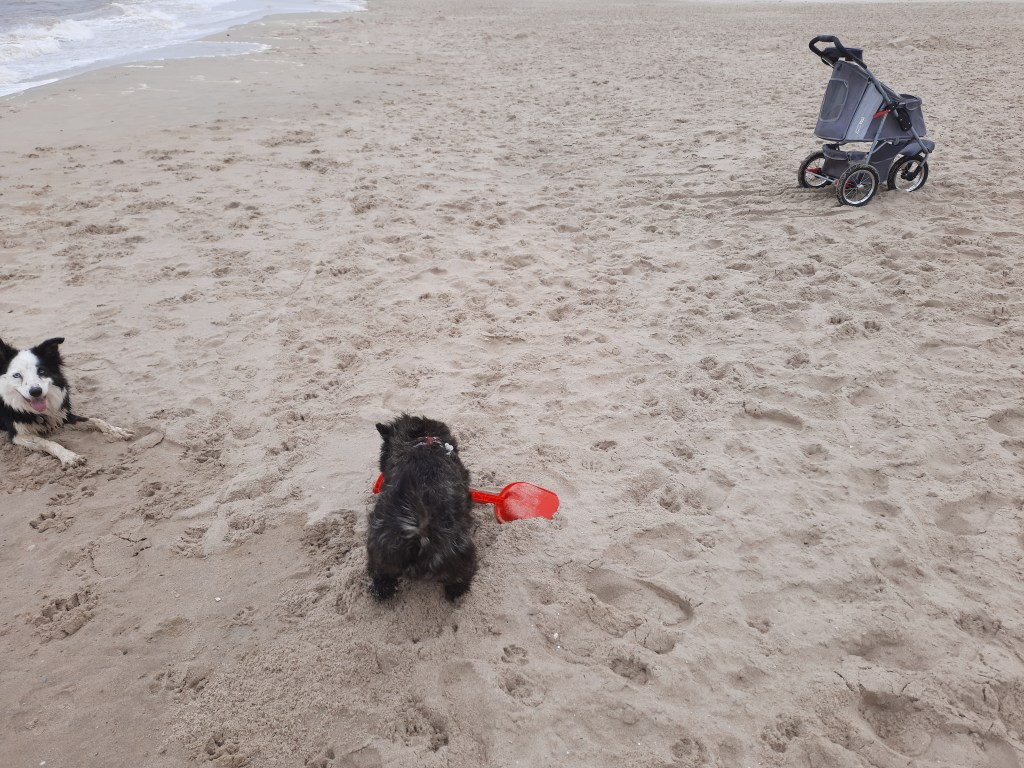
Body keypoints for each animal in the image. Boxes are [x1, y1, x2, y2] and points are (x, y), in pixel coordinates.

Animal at [0, 336, 132, 467]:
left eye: (41, 371)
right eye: (17, 375)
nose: (36, 391)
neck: (36, 413)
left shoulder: (62, 415)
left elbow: (95, 420)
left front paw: (117, 431)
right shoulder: (18, 435)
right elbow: (48, 442)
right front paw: (69, 456)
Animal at [367, 414, 477, 602]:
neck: (422, 441)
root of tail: (418, 535)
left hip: (379, 556)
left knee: (382, 581)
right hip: (462, 555)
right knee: (460, 579)